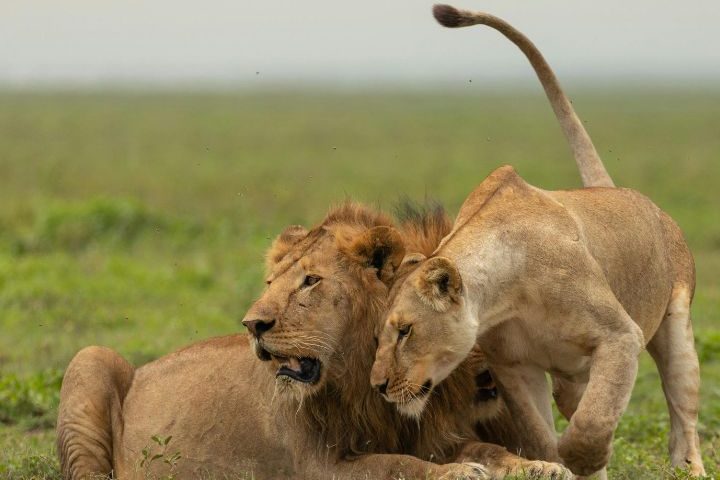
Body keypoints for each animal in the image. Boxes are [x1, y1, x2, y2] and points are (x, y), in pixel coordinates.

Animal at [57, 202, 570, 479]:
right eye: (271, 283)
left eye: (310, 282)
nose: (252, 324)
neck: (365, 382)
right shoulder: (318, 466)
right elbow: (395, 465)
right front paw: (458, 473)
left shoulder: (433, 434)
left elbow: (487, 449)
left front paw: (539, 467)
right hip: (90, 359)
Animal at [370, 4, 705, 478]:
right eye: (377, 336)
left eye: (405, 331)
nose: (379, 386)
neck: (508, 293)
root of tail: (621, 192)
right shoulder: (514, 367)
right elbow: (537, 433)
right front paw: (553, 464)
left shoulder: (620, 336)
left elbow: (594, 421)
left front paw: (582, 457)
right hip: (569, 378)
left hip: (675, 329)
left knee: (682, 412)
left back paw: (688, 467)